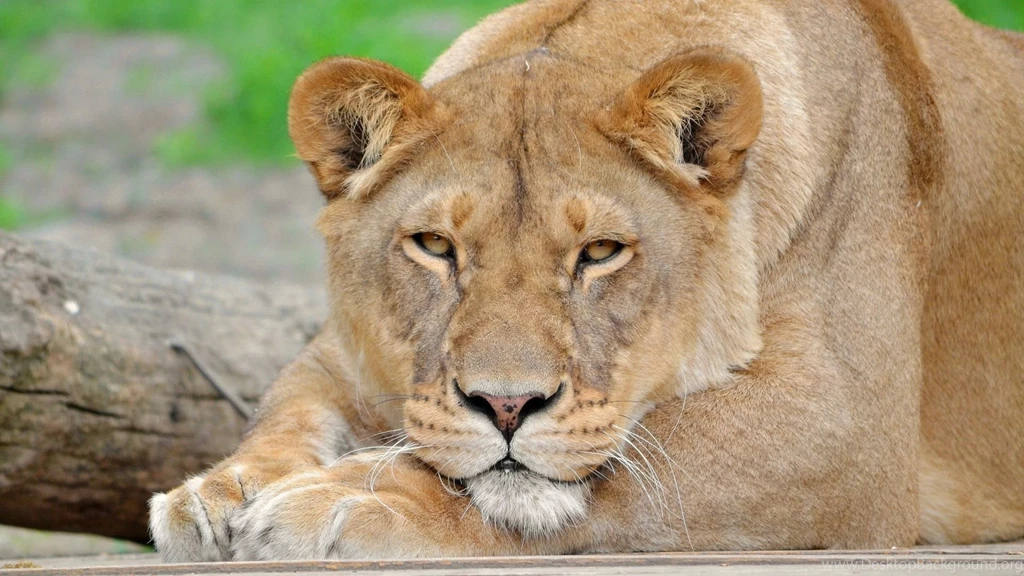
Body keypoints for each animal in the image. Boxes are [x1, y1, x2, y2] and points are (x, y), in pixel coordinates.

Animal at [148, 0, 1024, 561]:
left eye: (600, 253)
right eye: (434, 245)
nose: (507, 406)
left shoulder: (847, 426)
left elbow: (627, 460)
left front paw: (348, 497)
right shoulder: (348, 351)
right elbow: (289, 408)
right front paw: (218, 492)